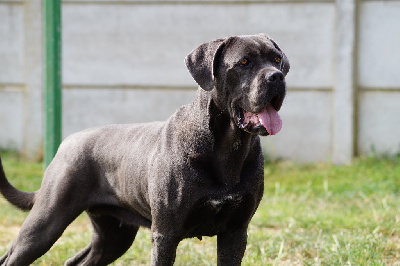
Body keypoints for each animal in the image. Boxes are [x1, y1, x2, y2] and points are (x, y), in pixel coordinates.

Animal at [0, 33, 290, 266]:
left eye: (277, 60)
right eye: (244, 62)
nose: (276, 77)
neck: (227, 146)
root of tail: (66, 142)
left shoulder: (235, 231)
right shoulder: (166, 234)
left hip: (114, 236)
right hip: (47, 221)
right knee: (13, 256)